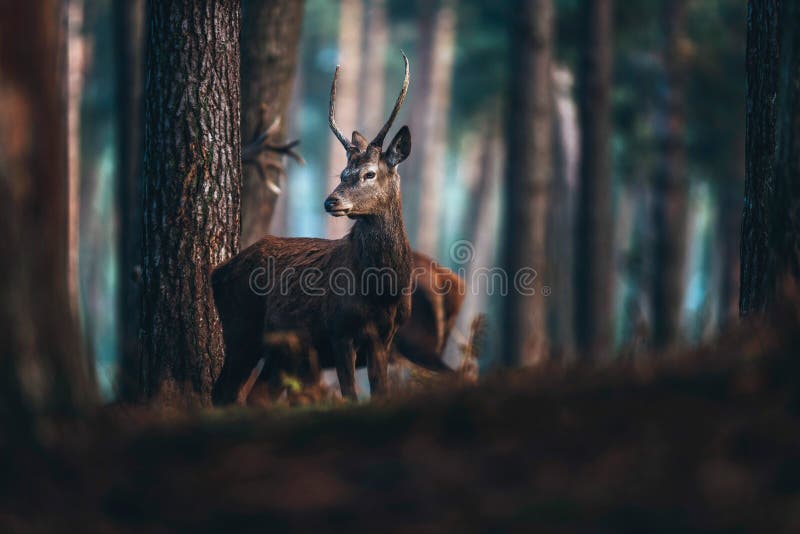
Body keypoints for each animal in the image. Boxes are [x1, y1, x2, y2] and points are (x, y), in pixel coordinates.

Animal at [212, 53, 413, 404]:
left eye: (370, 173)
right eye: (343, 173)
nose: (331, 201)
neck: (382, 290)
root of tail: (216, 272)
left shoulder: (384, 338)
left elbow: (380, 393)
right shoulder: (339, 330)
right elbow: (349, 395)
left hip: (281, 354)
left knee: (255, 394)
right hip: (242, 330)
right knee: (224, 390)